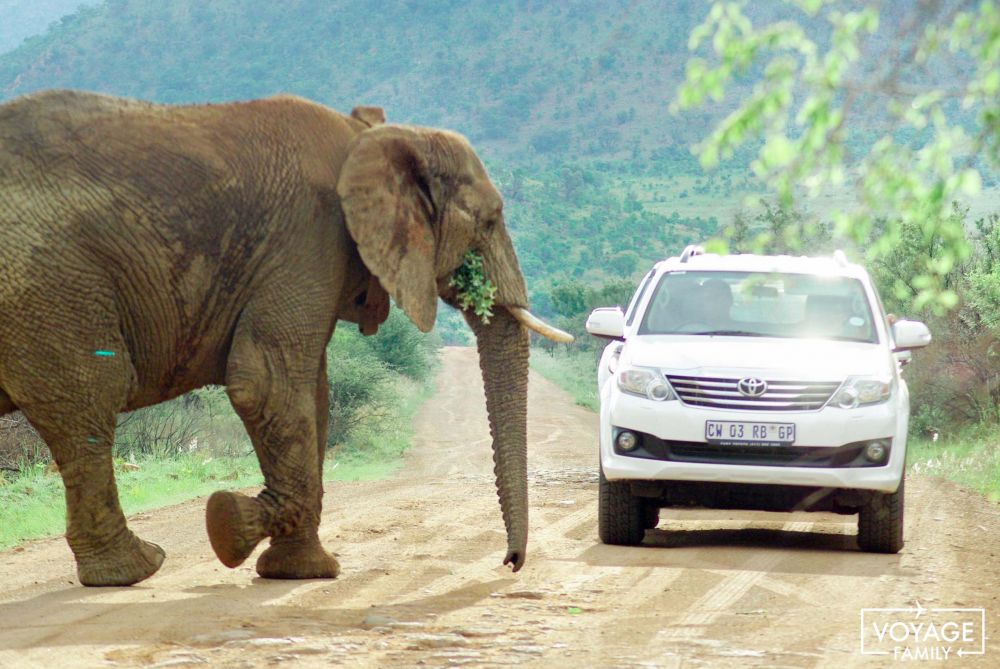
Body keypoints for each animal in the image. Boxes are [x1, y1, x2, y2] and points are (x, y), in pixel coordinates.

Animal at [0, 90, 572, 584]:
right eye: (491, 219)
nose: (510, 562)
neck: (367, 136)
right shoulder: (308, 236)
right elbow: (267, 382)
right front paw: (231, 526)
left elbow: (311, 394)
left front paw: (295, 567)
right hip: (50, 283)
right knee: (89, 402)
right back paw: (136, 569)